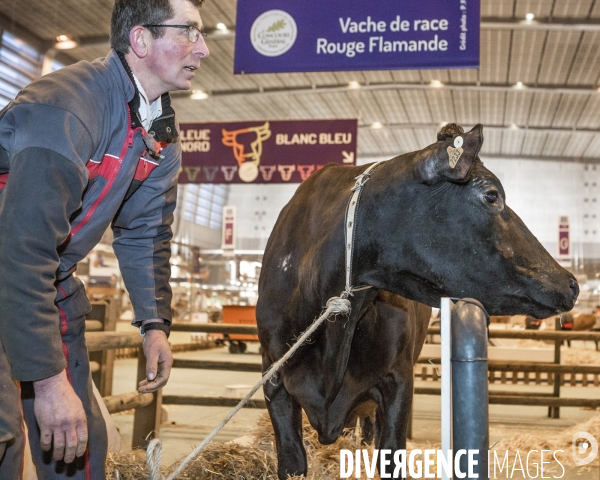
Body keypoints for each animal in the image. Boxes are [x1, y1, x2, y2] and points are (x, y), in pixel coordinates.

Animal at [255, 124, 580, 480]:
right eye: (492, 195)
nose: (572, 283)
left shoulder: (398, 382)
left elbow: (390, 453)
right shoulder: (274, 381)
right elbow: (292, 460)